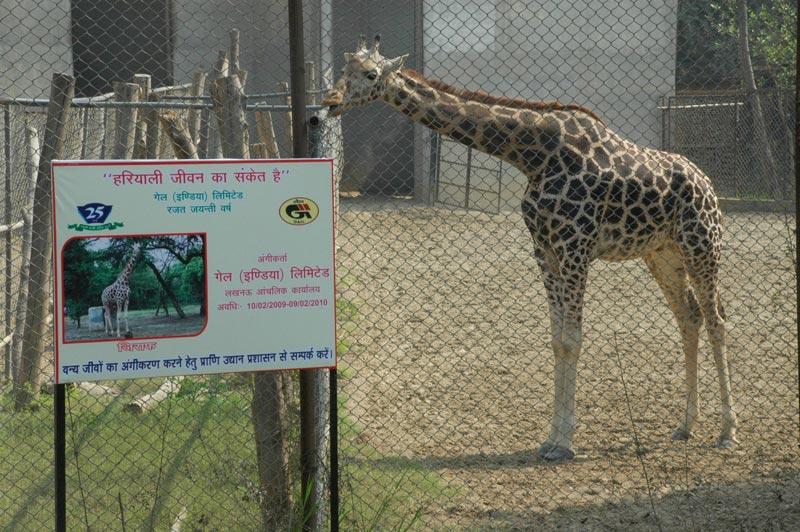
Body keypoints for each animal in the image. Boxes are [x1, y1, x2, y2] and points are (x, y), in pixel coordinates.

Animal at [324, 36, 736, 462]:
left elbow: (572, 338)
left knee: (717, 319)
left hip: (702, 247)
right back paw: (686, 425)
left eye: (370, 74)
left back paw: (726, 430)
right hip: (662, 254)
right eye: (342, 70)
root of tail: (708, 184)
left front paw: (566, 442)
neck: (532, 155)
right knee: (689, 317)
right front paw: (551, 438)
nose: (330, 100)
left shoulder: (575, 247)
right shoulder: (545, 250)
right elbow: (556, 340)